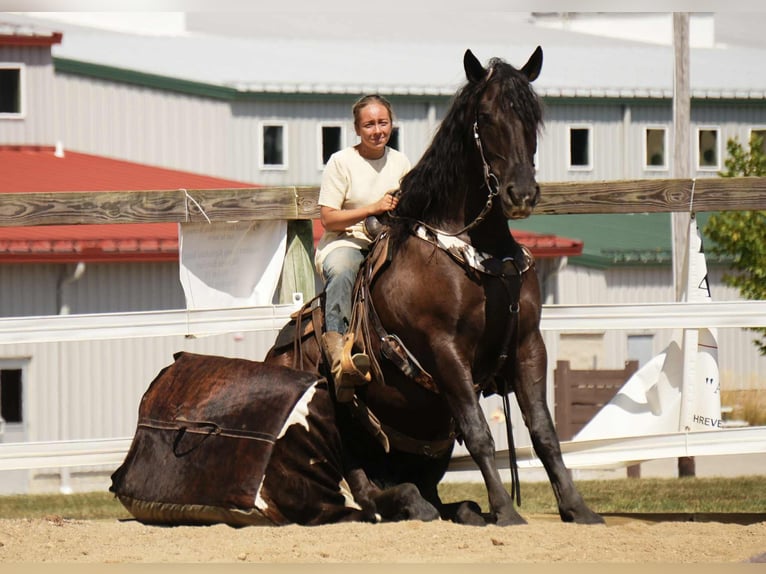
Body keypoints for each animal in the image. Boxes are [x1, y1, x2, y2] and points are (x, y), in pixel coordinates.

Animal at [266, 47, 604, 526]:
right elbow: (479, 432)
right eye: (486, 116)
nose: (520, 193)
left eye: (533, 116)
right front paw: (507, 511)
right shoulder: (445, 349)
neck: (478, 253)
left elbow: (543, 430)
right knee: (367, 494)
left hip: (430, 442)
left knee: (416, 488)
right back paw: (415, 504)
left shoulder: (528, 344)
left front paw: (577, 508)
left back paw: (460, 508)